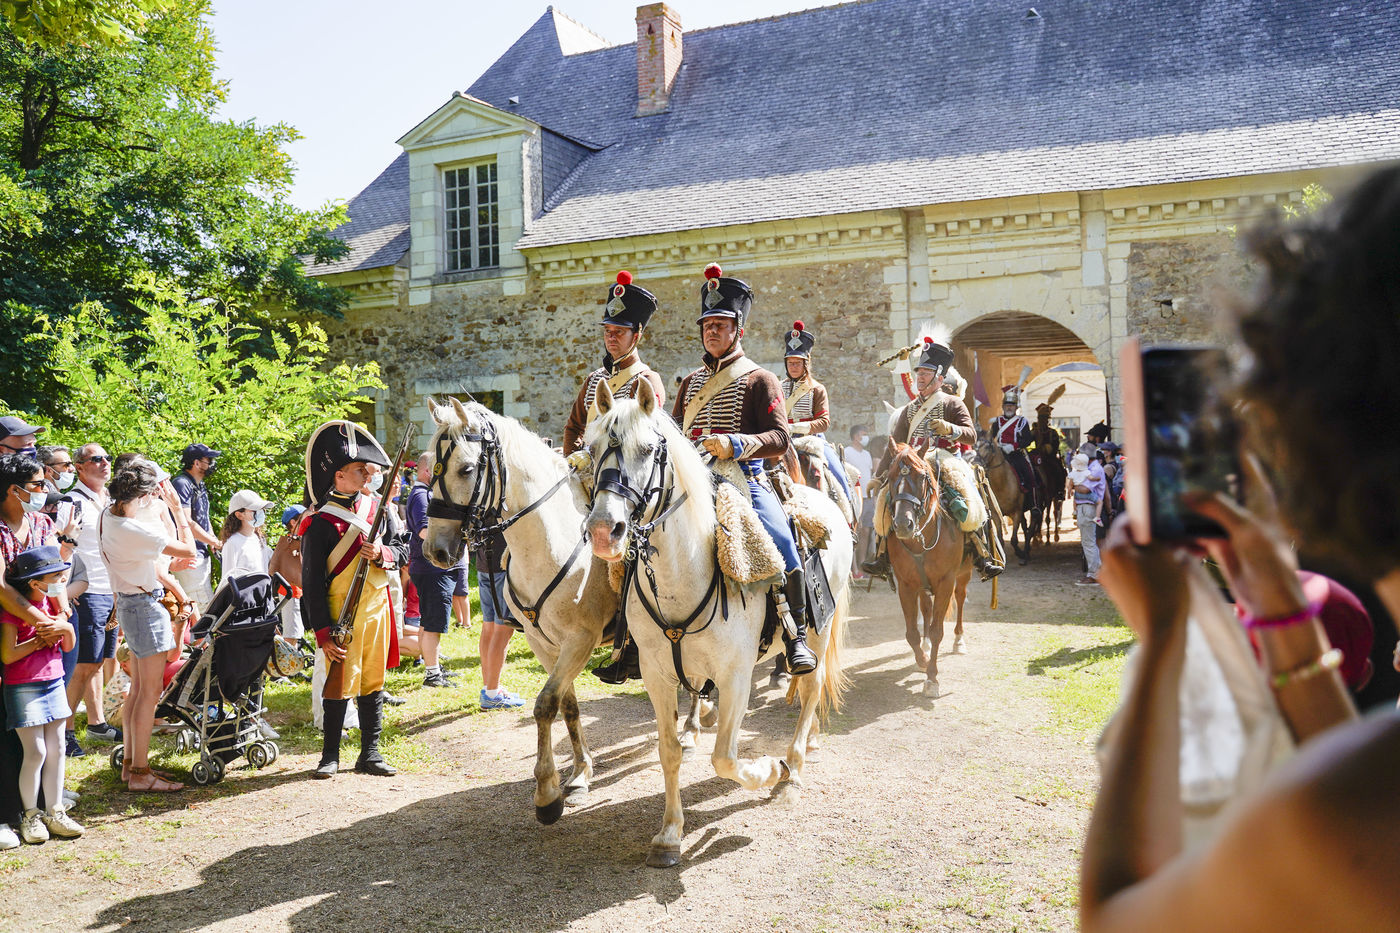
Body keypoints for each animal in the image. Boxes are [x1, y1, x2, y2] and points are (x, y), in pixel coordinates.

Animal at [420, 397, 711, 826]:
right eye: (431, 468)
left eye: (467, 469)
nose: (436, 551)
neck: (548, 541)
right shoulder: (544, 644)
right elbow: (567, 706)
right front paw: (579, 774)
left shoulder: (580, 641)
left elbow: (545, 705)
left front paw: (547, 792)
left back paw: (690, 731)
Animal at [583, 379, 852, 868]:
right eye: (591, 450)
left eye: (648, 449)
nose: (602, 531)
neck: (683, 575)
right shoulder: (657, 674)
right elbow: (669, 751)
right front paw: (670, 834)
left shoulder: (736, 676)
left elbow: (725, 757)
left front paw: (769, 769)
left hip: (820, 633)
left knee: (811, 688)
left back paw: (794, 765)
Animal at [881, 443, 972, 698]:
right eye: (890, 476)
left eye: (921, 476)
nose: (903, 524)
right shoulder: (906, 585)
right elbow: (912, 631)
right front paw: (922, 659)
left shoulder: (945, 582)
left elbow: (937, 630)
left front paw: (932, 679)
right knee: (926, 609)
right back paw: (926, 646)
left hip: (964, 574)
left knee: (960, 598)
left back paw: (959, 641)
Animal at [976, 435, 1042, 564]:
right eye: (975, 447)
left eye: (988, 447)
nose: (975, 462)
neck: (1001, 484)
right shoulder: (996, 515)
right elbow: (1001, 540)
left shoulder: (1016, 512)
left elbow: (1013, 540)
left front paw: (1020, 553)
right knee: (1025, 527)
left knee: (1031, 528)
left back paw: (1026, 554)